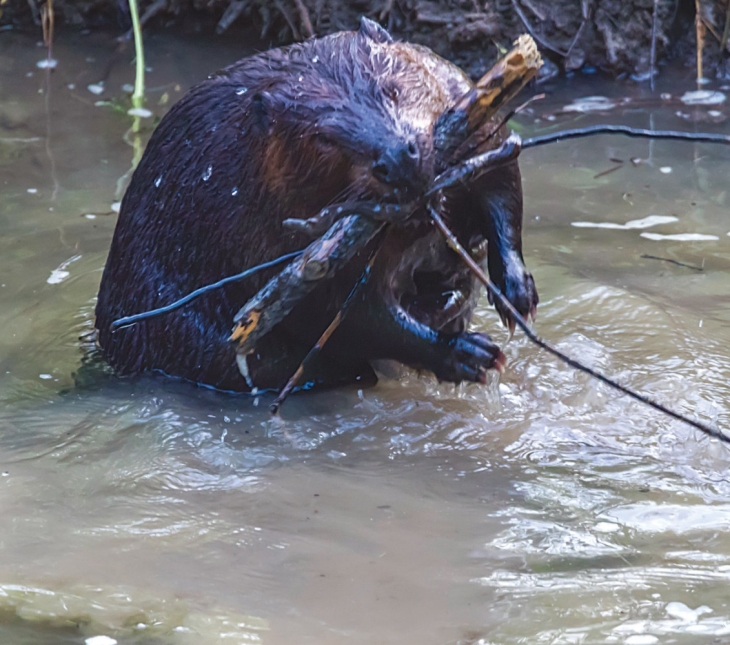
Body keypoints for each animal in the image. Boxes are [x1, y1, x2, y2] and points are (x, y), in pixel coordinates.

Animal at [95, 18, 536, 392]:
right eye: (324, 137)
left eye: (391, 89)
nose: (397, 159)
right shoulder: (255, 226)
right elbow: (339, 315)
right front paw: (471, 354)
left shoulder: (462, 96)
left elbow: (501, 177)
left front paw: (517, 294)